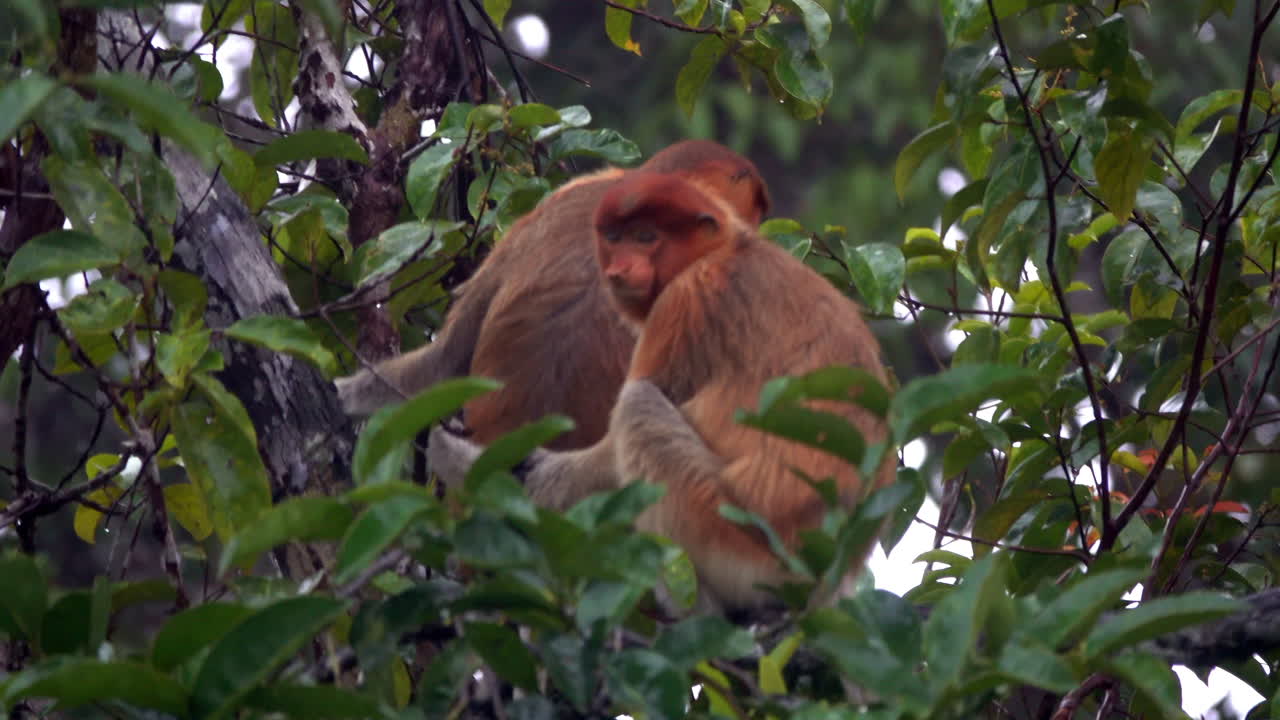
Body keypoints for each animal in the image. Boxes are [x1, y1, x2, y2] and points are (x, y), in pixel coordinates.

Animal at [427, 170, 894, 615]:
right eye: (614, 238)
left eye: (647, 237)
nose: (617, 271)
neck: (725, 250)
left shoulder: (685, 301)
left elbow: (611, 455)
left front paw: (469, 463)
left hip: (729, 540)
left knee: (640, 407)